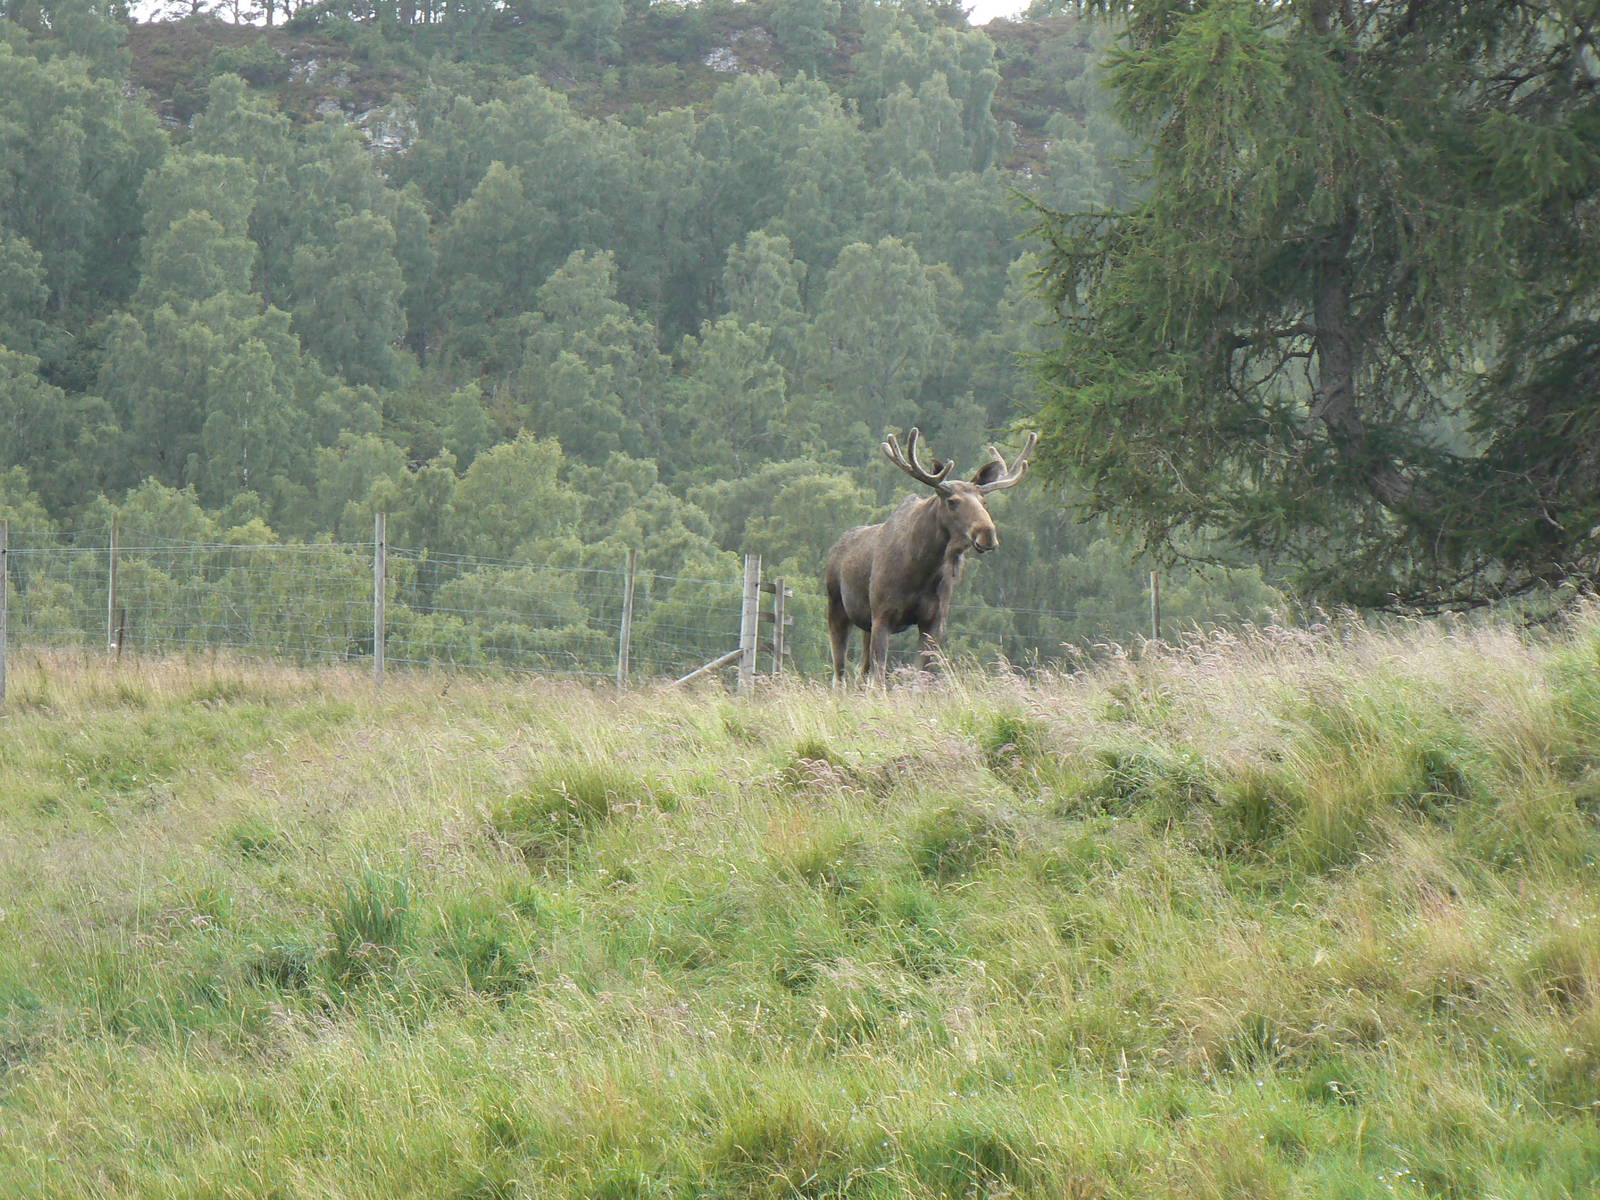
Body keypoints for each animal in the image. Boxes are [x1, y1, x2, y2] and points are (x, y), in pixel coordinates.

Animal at [825, 427, 1036, 685]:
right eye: (952, 501)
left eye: (983, 501)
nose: (987, 534)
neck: (921, 569)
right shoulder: (882, 615)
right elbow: (879, 676)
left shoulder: (933, 620)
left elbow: (921, 677)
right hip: (837, 608)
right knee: (840, 672)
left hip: (865, 623)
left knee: (860, 671)